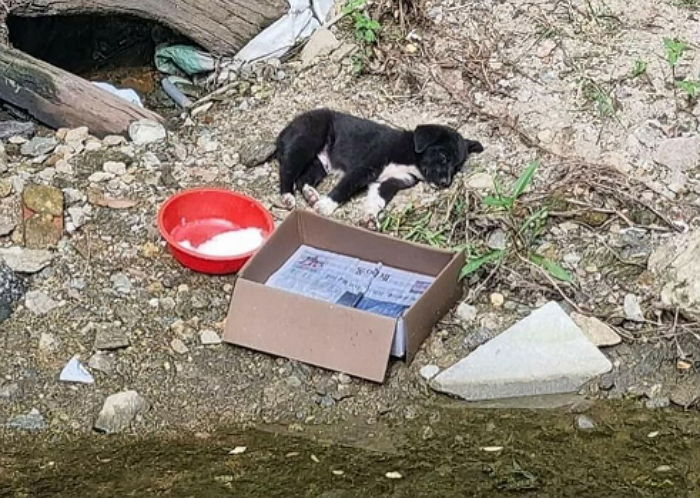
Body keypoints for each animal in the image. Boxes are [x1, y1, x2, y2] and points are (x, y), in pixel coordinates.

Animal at [276, 110, 484, 224]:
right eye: (443, 156)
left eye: (456, 169)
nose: (445, 183)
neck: (411, 156)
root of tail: (286, 129)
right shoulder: (366, 166)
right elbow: (345, 187)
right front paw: (327, 205)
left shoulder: (391, 181)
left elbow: (378, 199)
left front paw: (370, 217)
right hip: (307, 141)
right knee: (287, 170)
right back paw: (287, 197)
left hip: (320, 163)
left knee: (303, 179)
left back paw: (310, 194)